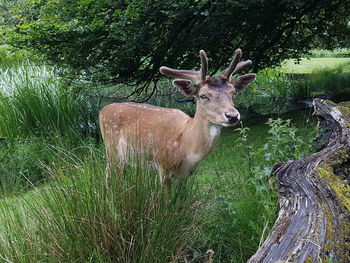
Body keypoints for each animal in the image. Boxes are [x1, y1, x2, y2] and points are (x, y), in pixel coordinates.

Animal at [98, 48, 254, 190]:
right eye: (203, 95)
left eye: (233, 93)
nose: (232, 115)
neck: (187, 147)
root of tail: (102, 110)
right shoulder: (163, 166)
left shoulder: (187, 174)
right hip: (111, 150)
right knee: (107, 176)